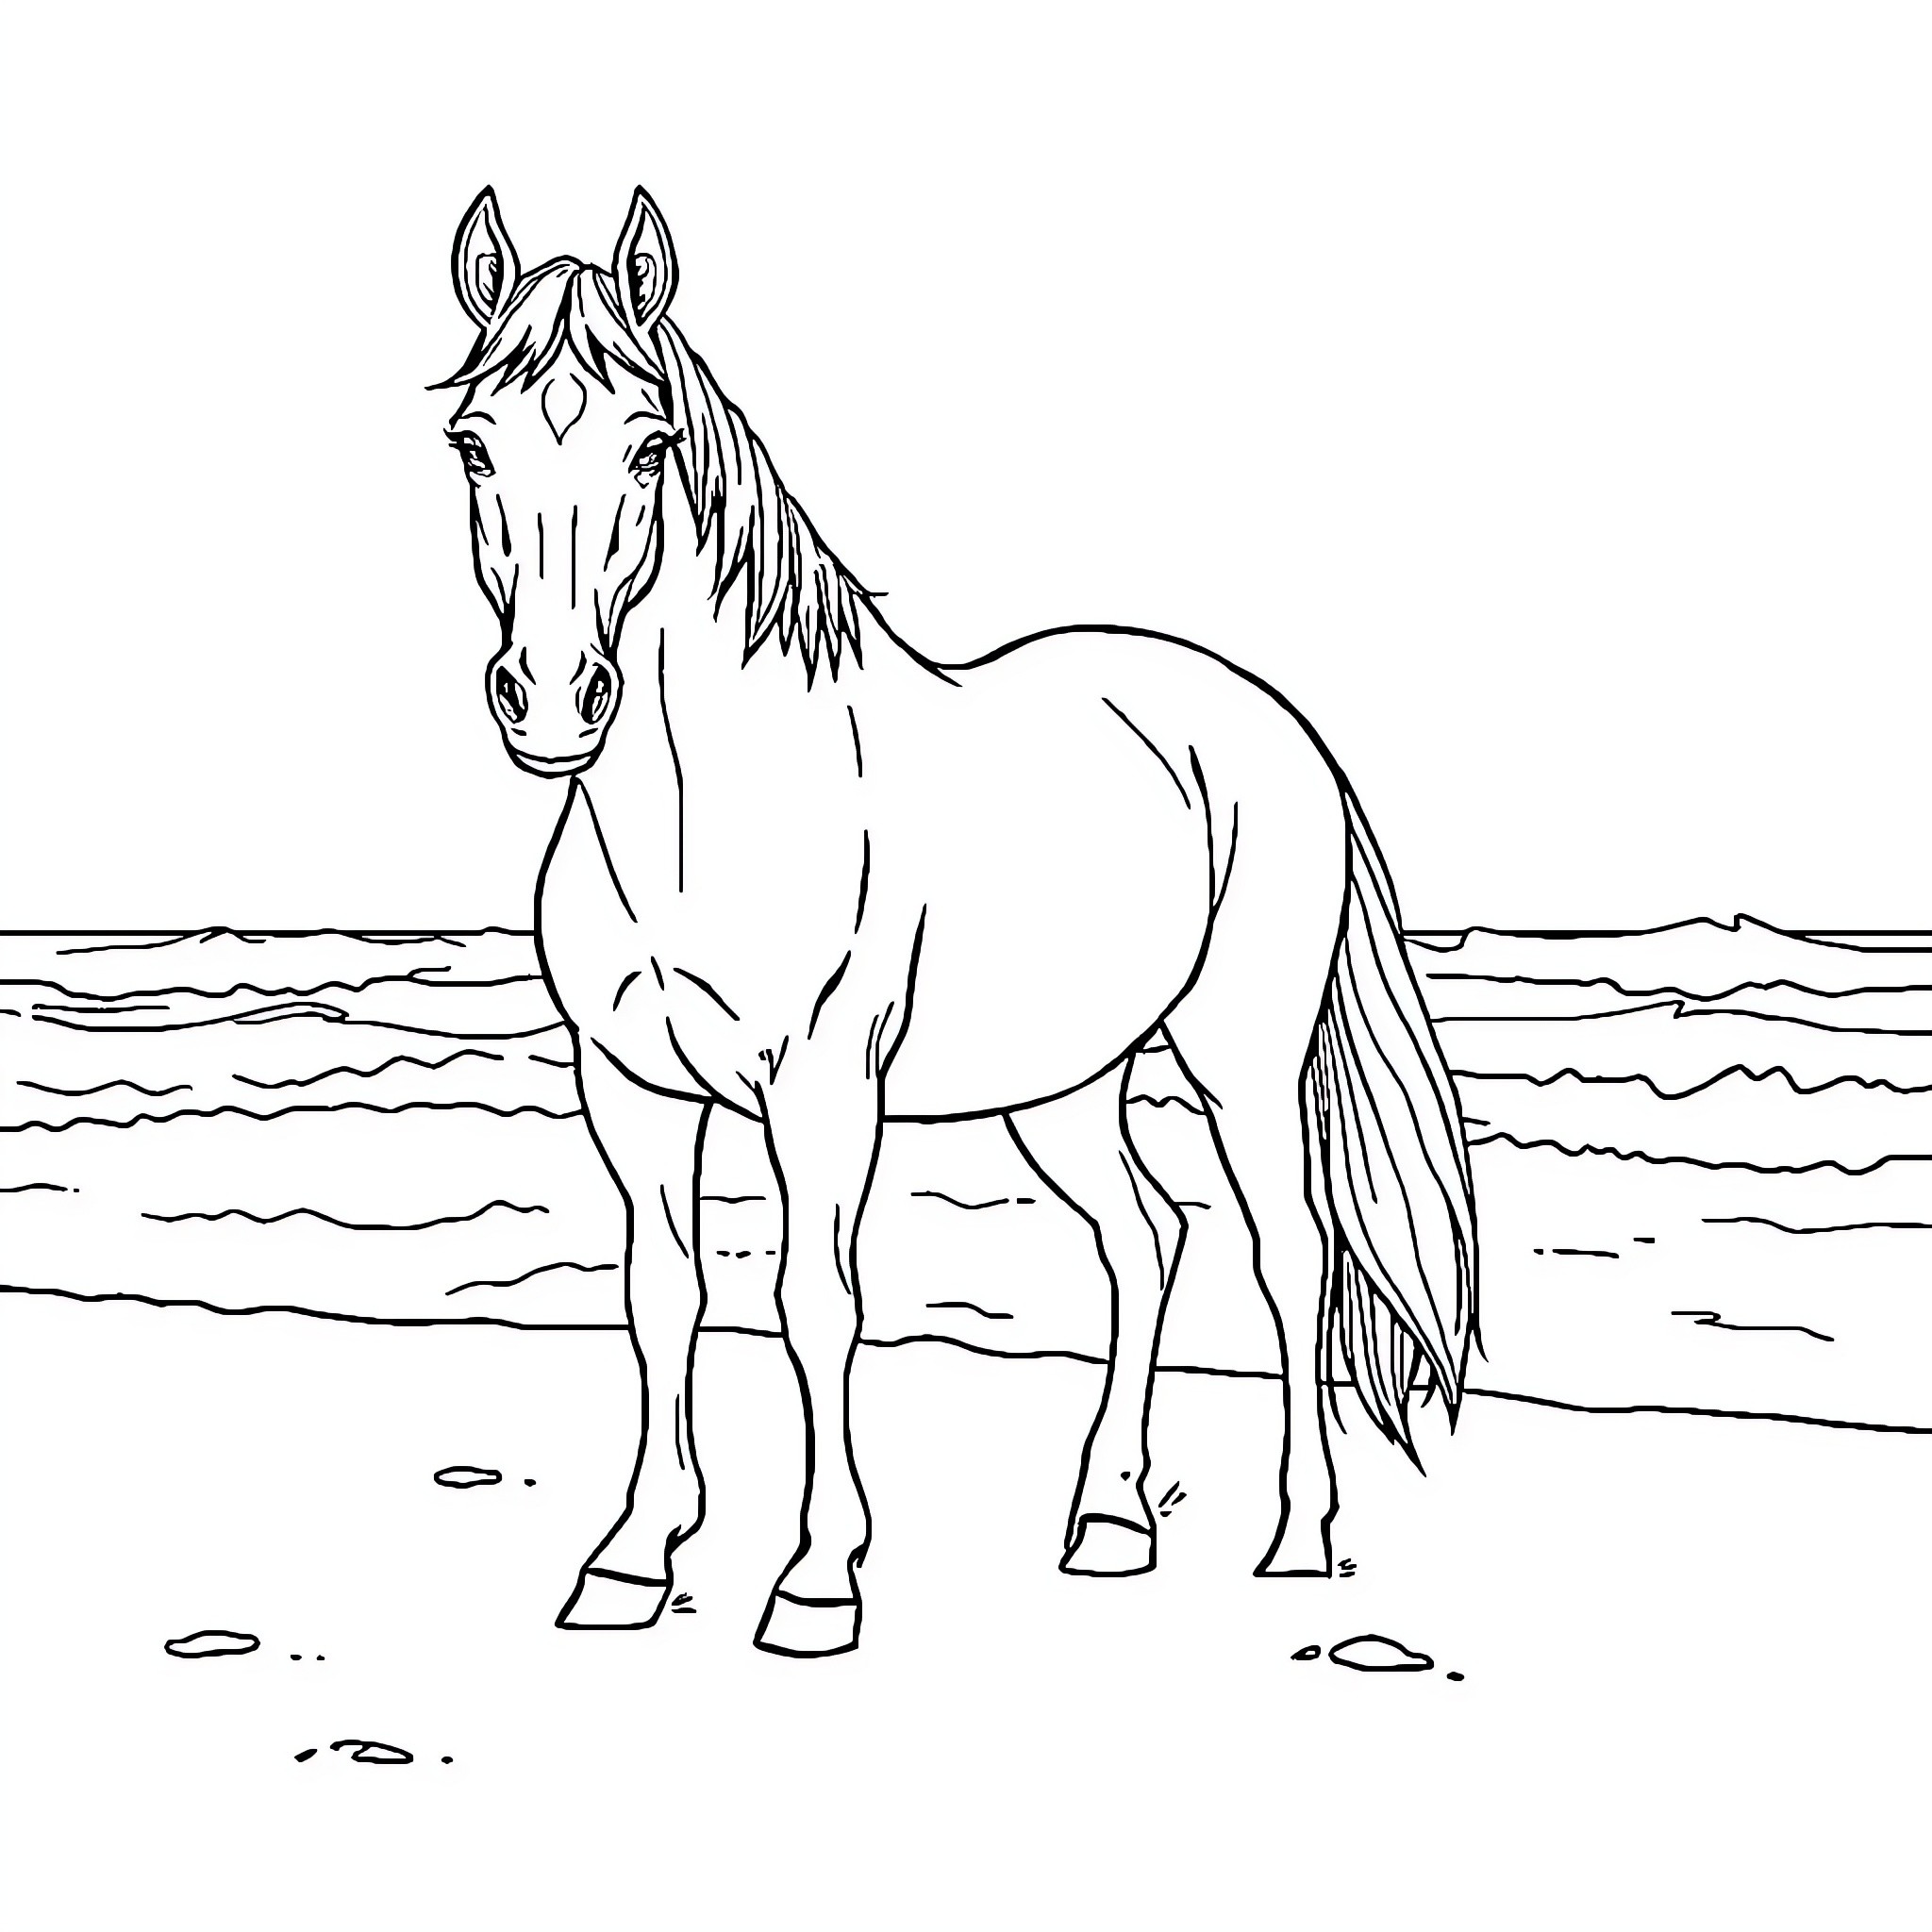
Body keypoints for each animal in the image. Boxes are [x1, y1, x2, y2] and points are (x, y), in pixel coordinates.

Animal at [435, 185, 1477, 1657]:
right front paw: (631, 1560)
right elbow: (661, 1298)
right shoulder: (629, 1087)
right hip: (1064, 1085)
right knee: (1145, 1239)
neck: (704, 806)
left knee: (1290, 1253)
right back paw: (1108, 1523)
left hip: (1242, 1057)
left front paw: (816, 1578)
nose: (550, 696)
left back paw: (1296, 1537)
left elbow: (815, 1303)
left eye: (648, 447)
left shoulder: (821, 1086)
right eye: (474, 442)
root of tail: (1270, 725)